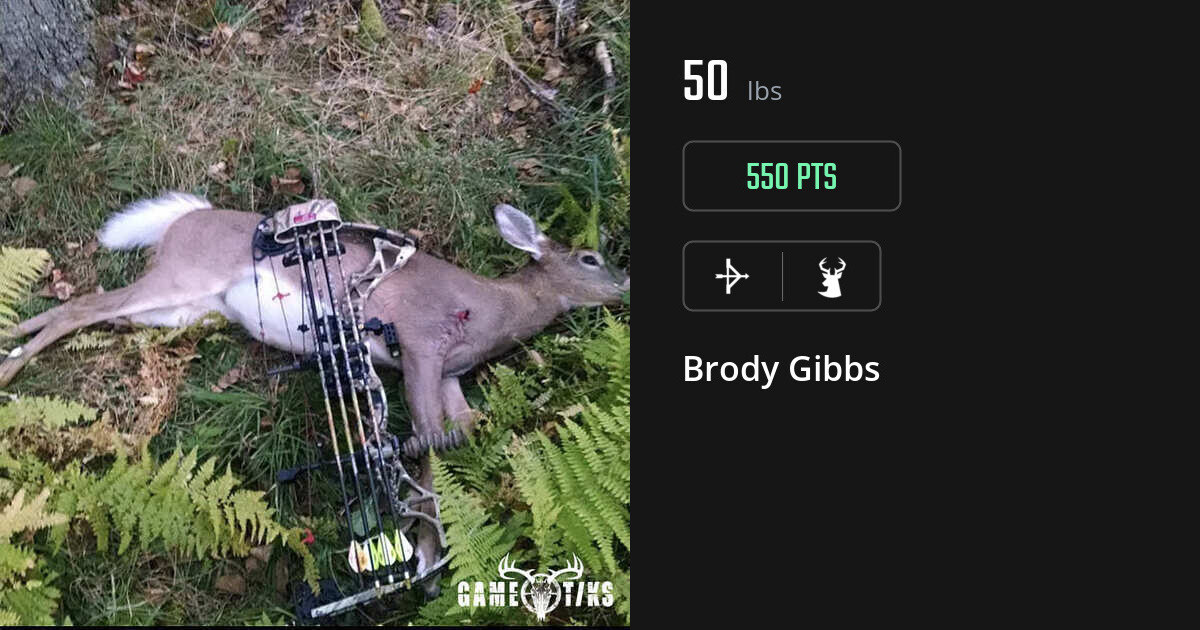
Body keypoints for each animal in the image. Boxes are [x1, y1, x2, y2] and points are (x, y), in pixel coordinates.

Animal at [0, 192, 629, 594]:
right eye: (590, 257)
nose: (624, 284)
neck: (492, 312)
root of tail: (184, 218)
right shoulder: (420, 344)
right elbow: (424, 448)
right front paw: (424, 555)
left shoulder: (450, 374)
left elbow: (458, 434)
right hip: (180, 278)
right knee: (83, 306)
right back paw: (10, 370)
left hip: (180, 310)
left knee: (82, 311)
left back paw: (10, 346)